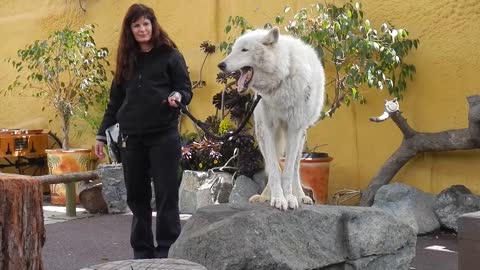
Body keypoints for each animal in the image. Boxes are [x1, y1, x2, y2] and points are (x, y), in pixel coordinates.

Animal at [218, 26, 326, 210]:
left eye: (244, 50)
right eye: (232, 50)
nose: (221, 65)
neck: (281, 79)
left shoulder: (293, 130)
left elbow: (288, 171)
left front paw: (290, 198)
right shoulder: (268, 130)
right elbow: (275, 170)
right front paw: (277, 198)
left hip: (300, 136)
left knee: (295, 167)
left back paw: (300, 196)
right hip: (262, 134)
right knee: (272, 163)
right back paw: (265, 196)